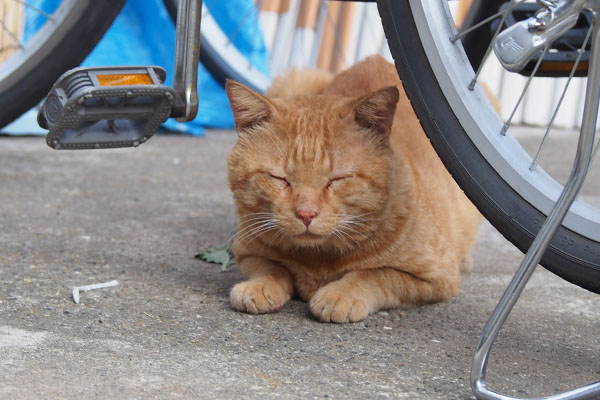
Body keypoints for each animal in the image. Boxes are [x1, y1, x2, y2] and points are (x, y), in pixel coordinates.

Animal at [225, 55, 482, 322]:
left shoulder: (436, 278)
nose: (306, 214)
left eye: (337, 179)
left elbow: (376, 275)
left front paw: (340, 294)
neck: (317, 258)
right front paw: (260, 286)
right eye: (280, 178)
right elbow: (272, 267)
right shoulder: (245, 251)